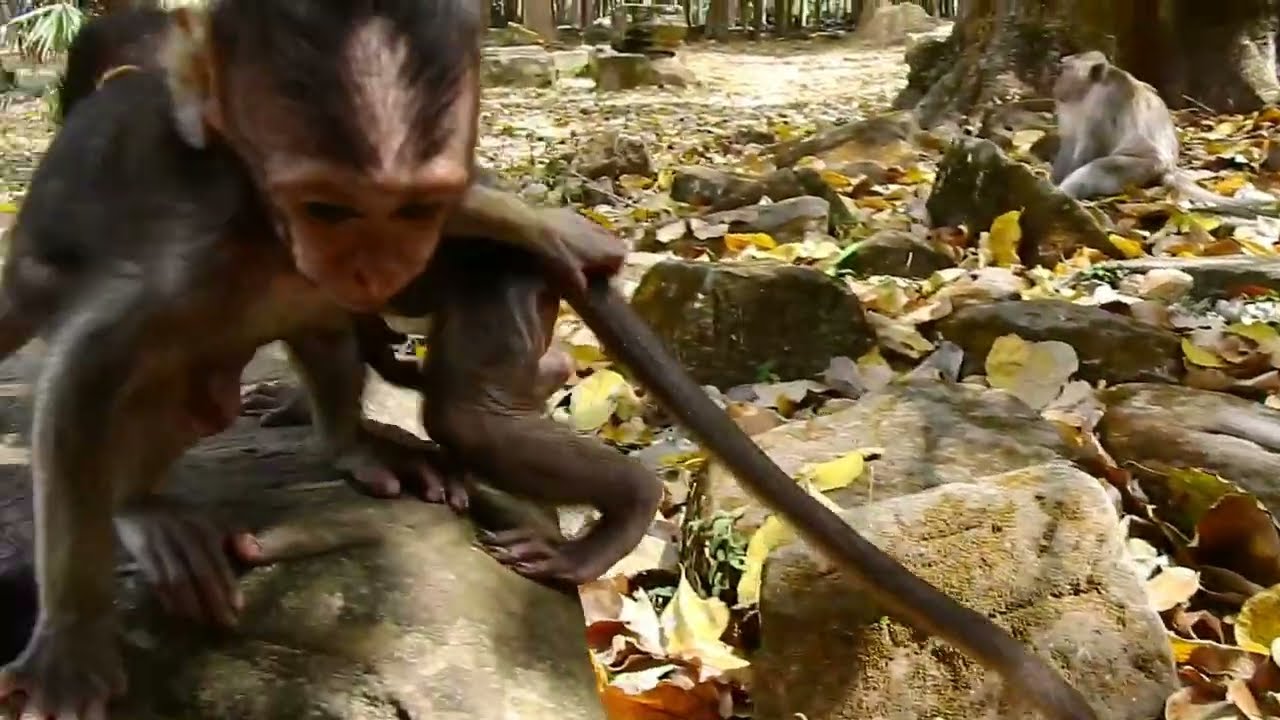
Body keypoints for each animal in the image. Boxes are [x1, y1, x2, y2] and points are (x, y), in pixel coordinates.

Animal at [0, 4, 626, 718]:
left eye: (415, 208)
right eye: (328, 208)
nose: (375, 265)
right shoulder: (190, 258)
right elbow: (83, 378)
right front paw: (71, 640)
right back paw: (140, 510)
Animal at [1051, 51, 1279, 217]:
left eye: (1063, 70)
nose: (1055, 86)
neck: (1086, 92)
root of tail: (1169, 167)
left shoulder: (1106, 102)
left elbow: (1094, 145)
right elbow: (1069, 142)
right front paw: (1054, 176)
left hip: (1144, 166)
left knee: (1101, 168)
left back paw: (1064, 193)